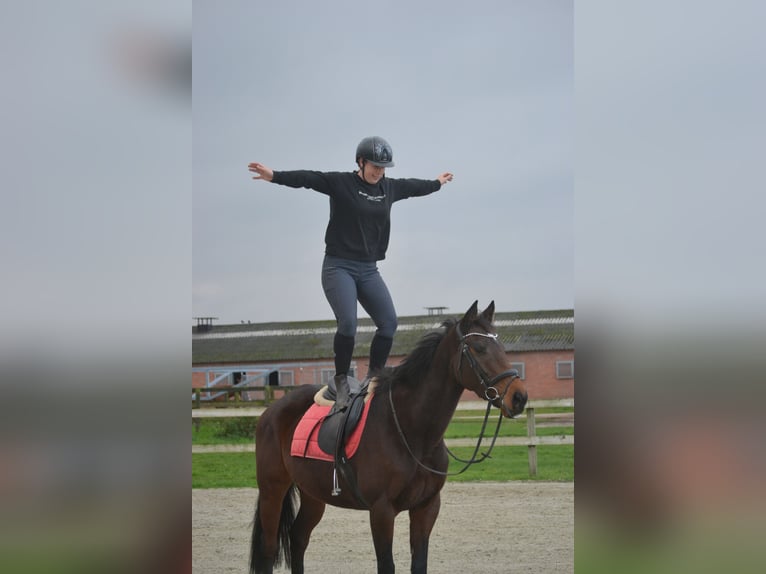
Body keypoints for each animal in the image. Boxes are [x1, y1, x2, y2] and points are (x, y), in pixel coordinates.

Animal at [250, 302, 528, 574]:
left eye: (502, 348)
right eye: (479, 348)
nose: (519, 397)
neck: (411, 431)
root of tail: (271, 412)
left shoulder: (426, 508)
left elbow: (419, 563)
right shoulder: (381, 511)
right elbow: (386, 564)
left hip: (313, 494)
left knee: (298, 538)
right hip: (272, 490)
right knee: (269, 549)